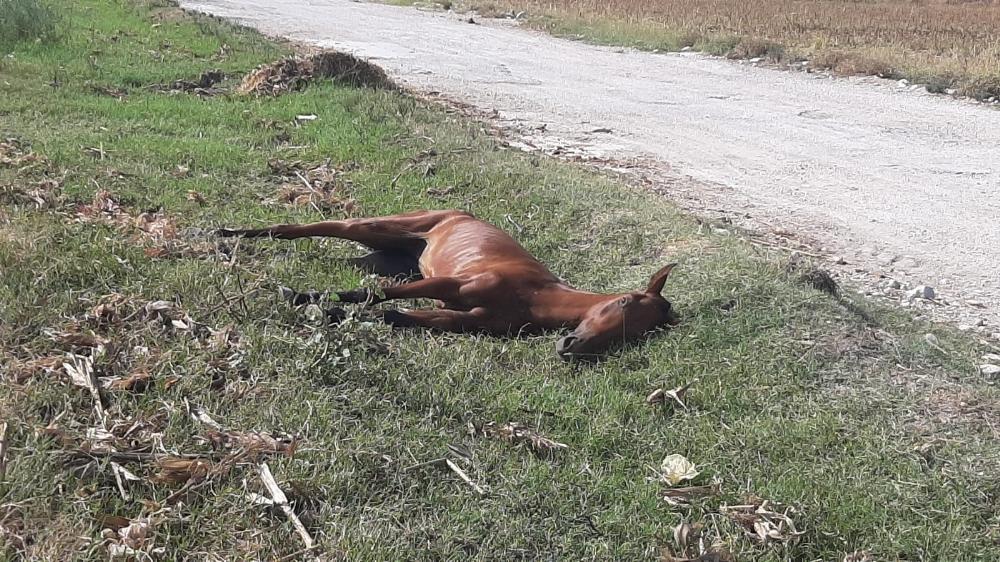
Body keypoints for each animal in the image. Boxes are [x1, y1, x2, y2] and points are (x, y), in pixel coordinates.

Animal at [215, 209, 676, 358]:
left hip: (392, 253)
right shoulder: (449, 285)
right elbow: (374, 295)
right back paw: (227, 236)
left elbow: (391, 312)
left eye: (635, 337)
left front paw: (323, 309)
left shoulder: (458, 317)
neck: (534, 295)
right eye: (625, 302)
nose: (570, 347)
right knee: (307, 227)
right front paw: (297, 295)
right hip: (378, 227)